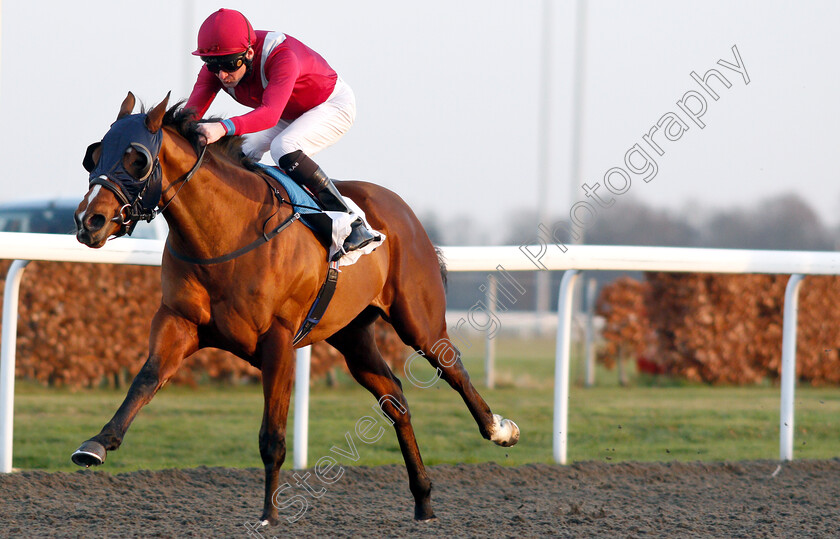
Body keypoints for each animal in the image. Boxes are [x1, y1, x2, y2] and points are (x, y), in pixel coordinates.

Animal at [72, 94, 520, 528]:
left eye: (137, 159)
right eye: (94, 156)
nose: (88, 221)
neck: (226, 234)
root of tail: (403, 210)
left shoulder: (279, 340)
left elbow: (272, 435)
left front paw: (269, 515)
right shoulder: (179, 322)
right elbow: (145, 380)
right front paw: (96, 444)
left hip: (417, 319)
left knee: (452, 366)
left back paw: (499, 429)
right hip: (352, 336)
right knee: (394, 398)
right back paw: (423, 500)